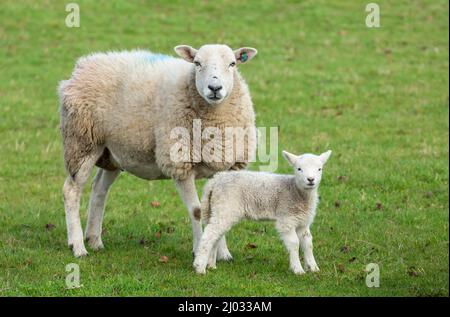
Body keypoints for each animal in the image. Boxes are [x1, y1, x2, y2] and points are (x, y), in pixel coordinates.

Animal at [58, 44, 258, 256]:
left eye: (232, 63)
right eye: (197, 63)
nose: (215, 88)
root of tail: (82, 66)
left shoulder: (224, 168)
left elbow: (217, 211)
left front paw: (223, 254)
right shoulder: (179, 164)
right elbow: (196, 211)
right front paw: (198, 250)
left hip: (112, 153)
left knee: (99, 189)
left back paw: (95, 240)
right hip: (82, 143)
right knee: (71, 191)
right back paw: (78, 246)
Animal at [192, 149, 330, 272]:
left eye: (319, 169)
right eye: (299, 169)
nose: (311, 179)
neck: (296, 191)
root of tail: (214, 181)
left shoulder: (303, 222)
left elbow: (308, 243)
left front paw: (313, 268)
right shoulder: (286, 219)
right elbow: (294, 244)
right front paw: (298, 269)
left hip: (215, 208)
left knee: (215, 235)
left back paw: (210, 265)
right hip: (225, 207)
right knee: (209, 234)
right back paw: (200, 267)